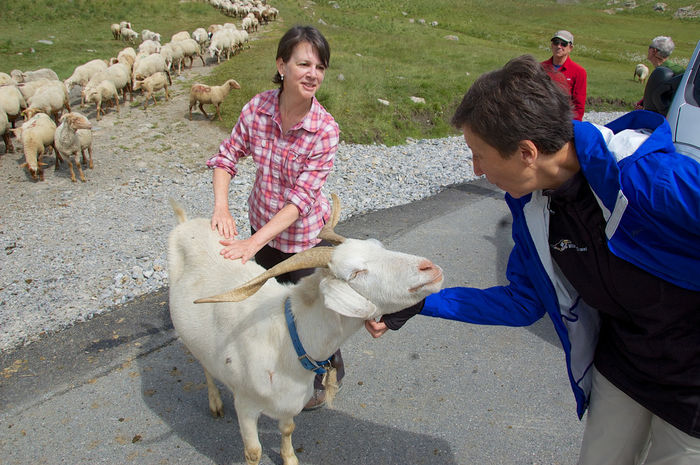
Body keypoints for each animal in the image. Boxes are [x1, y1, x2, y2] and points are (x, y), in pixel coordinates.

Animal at [167, 195, 446, 464]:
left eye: (378, 247)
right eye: (356, 273)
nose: (429, 268)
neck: (288, 338)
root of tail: (185, 223)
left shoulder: (290, 402)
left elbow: (288, 429)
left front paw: (290, 459)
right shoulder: (245, 405)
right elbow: (253, 452)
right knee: (205, 365)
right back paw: (214, 403)